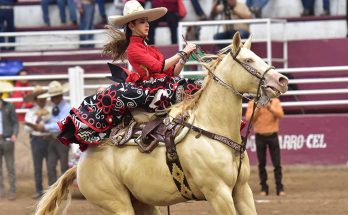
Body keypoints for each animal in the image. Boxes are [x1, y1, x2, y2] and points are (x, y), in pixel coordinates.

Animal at [34, 32, 288, 215]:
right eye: (248, 60)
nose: (282, 80)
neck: (212, 130)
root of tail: (79, 165)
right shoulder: (218, 193)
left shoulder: (242, 191)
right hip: (117, 205)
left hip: (143, 203)